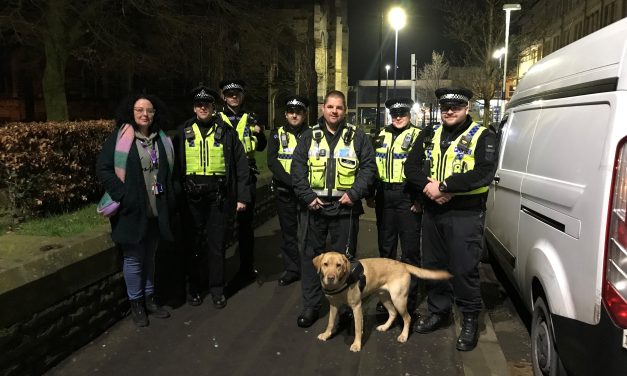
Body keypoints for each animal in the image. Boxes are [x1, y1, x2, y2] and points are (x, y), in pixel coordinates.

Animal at [314, 251, 452, 352]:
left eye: (339, 265)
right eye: (325, 264)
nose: (330, 278)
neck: (341, 283)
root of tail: (402, 264)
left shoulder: (357, 307)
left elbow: (358, 328)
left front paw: (357, 344)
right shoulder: (333, 306)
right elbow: (330, 322)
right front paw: (326, 334)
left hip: (399, 300)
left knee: (407, 318)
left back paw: (403, 336)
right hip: (384, 297)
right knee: (393, 313)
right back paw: (385, 327)